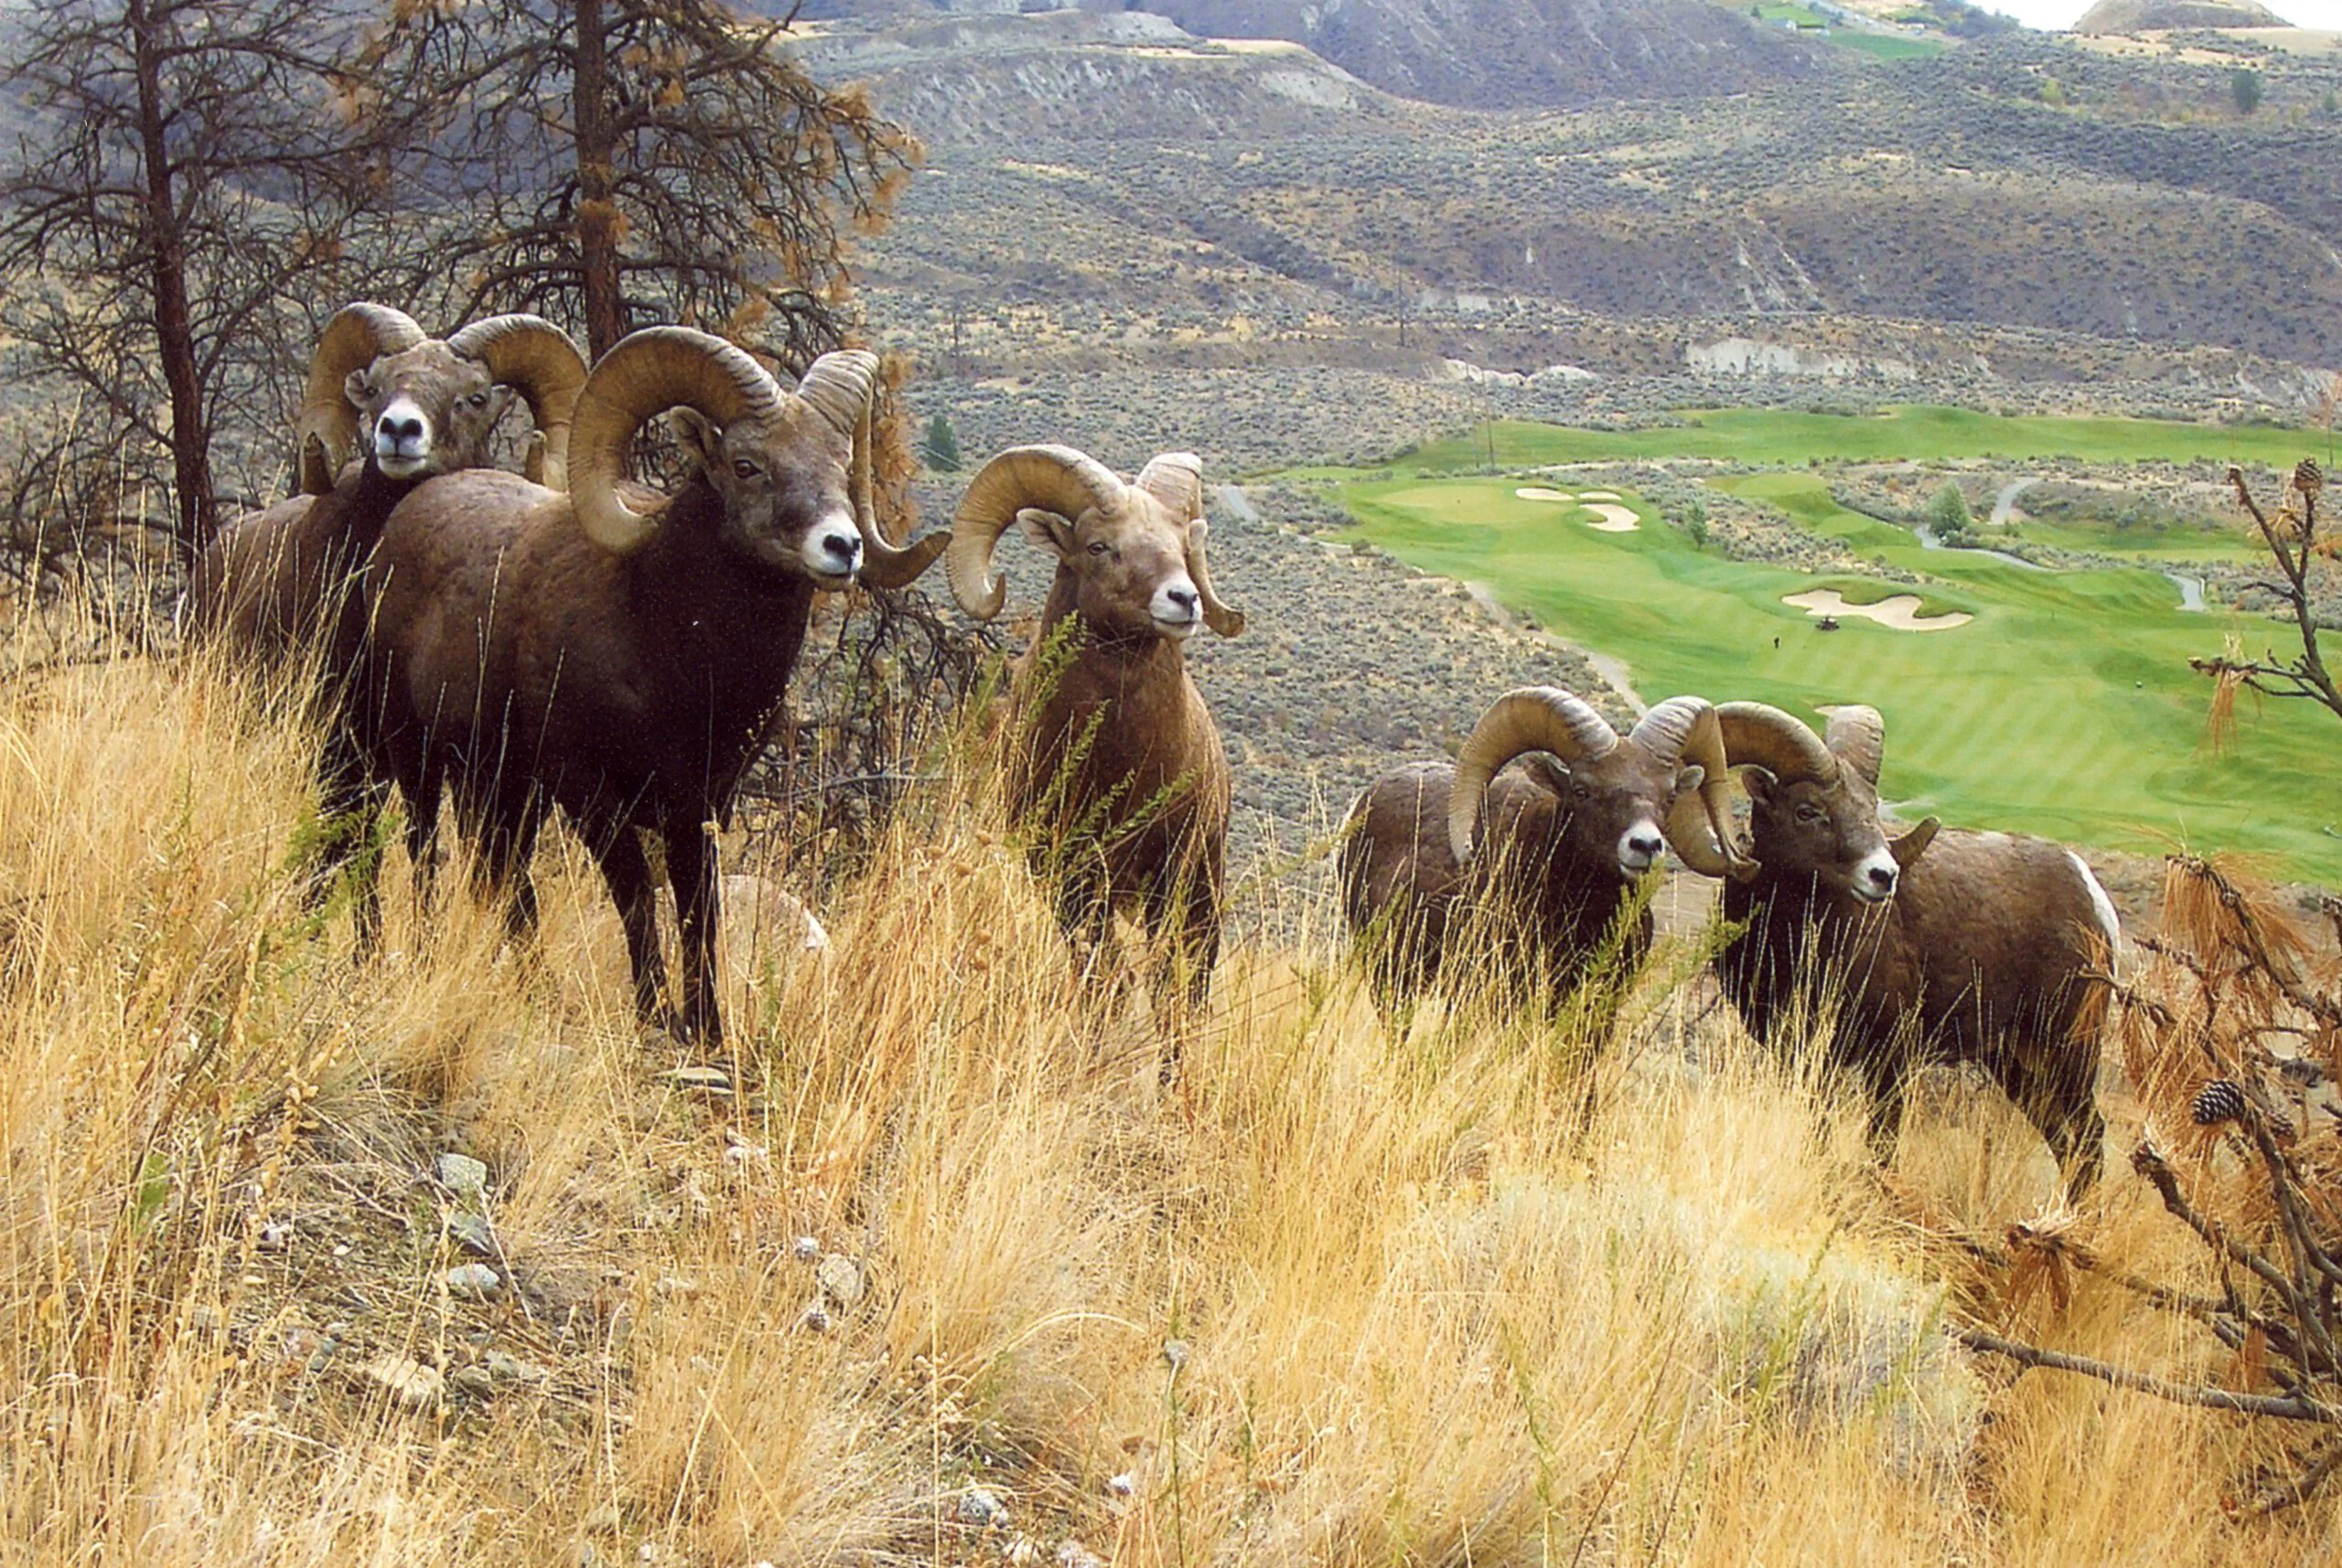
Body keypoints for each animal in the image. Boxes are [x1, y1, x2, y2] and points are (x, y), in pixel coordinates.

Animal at [361, 326, 945, 1044]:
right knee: (426, 855)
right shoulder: (588, 792)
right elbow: (636, 896)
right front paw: (656, 1017)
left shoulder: (703, 803)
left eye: (841, 465)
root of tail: (408, 519)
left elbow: (699, 912)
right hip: (415, 755)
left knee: (504, 876)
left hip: (503, 790)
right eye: (747, 466)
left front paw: (709, 1028)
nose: (843, 546)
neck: (673, 656)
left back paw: (535, 988)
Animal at [941, 444, 1245, 1021]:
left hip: (1202, 891)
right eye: (1099, 546)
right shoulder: (1067, 879)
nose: (1184, 599)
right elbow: (1104, 979)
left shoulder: (1172, 876)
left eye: (1181, 545)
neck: (1118, 768)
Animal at [1687, 702, 2116, 1191]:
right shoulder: (1802, 1057)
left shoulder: (1891, 1057)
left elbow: (1882, 1144)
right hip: (2014, 1064)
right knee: (2064, 1140)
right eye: (1806, 811)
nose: (1883, 875)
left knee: (2088, 1135)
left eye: (1870, 807)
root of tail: (2090, 893)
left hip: (2068, 1051)